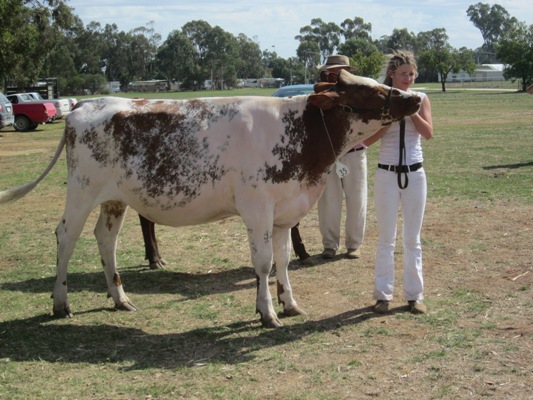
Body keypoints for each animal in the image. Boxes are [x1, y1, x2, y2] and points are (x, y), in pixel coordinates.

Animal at [0, 71, 420, 328]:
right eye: (372, 91)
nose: (414, 97)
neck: (299, 134)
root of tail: (85, 105)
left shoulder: (284, 212)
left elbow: (283, 261)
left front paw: (289, 303)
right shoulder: (257, 209)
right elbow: (264, 264)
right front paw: (267, 313)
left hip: (115, 199)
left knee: (105, 239)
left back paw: (120, 298)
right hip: (82, 189)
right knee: (66, 236)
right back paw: (61, 303)